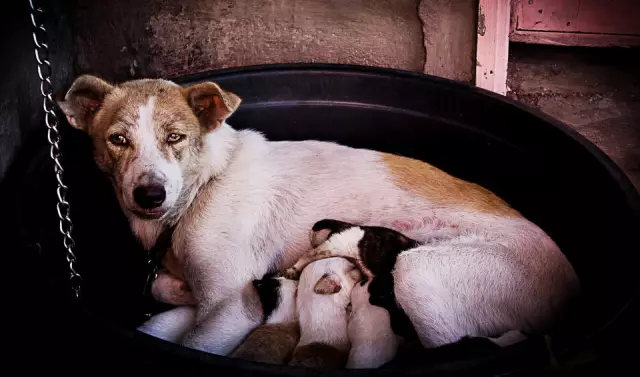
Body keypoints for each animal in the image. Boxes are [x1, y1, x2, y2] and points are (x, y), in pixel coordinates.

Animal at [57, 75, 584, 356]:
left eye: (175, 137)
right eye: (117, 139)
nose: (149, 195)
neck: (206, 182)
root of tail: (570, 283)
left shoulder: (232, 307)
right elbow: (169, 290)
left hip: (421, 273)